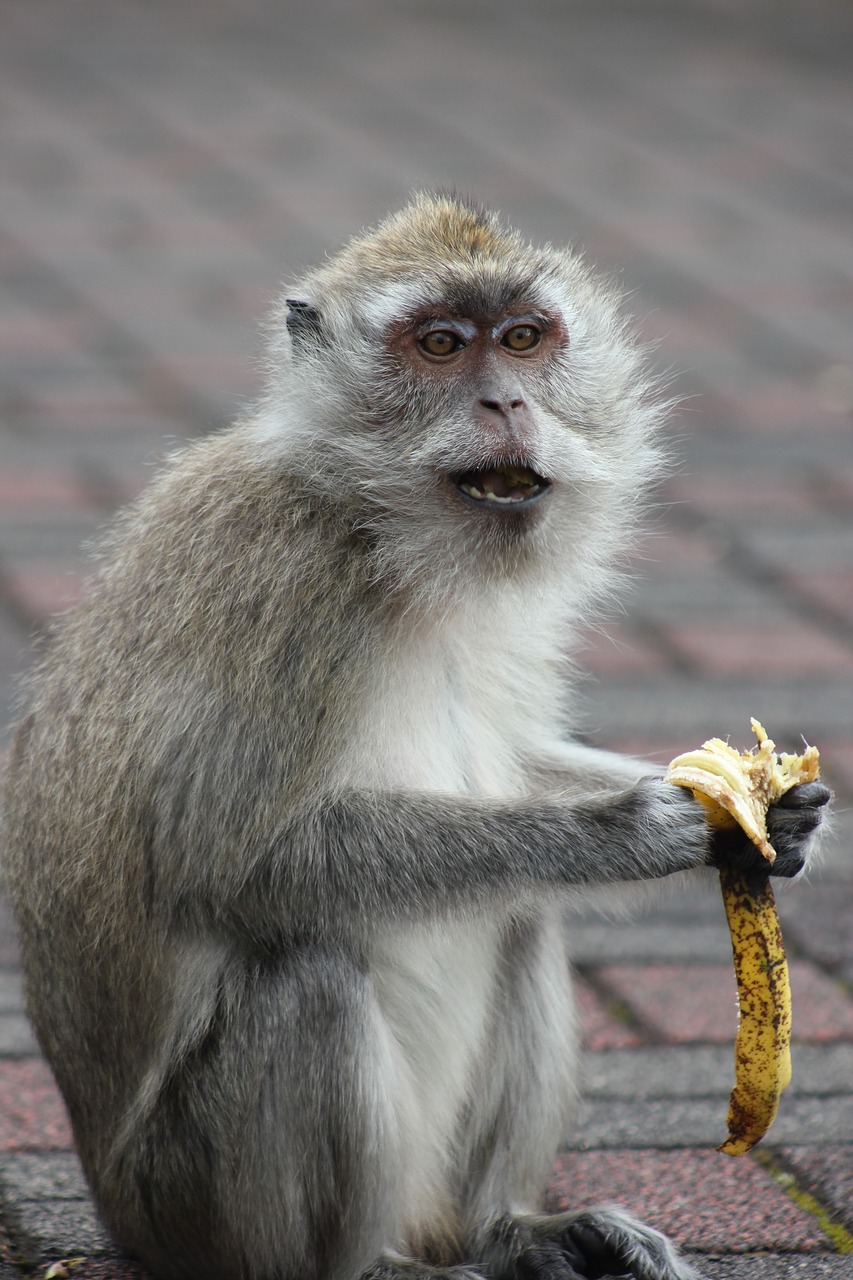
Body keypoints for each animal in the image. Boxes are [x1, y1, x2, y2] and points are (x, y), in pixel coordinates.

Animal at [0, 194, 824, 1280]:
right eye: (438, 345)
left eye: (521, 340)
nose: (504, 404)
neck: (383, 538)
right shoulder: (283, 581)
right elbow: (226, 859)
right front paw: (623, 830)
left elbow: (513, 763)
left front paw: (781, 822)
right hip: (182, 1201)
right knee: (305, 975)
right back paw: (371, 1266)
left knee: (519, 914)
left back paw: (510, 1229)